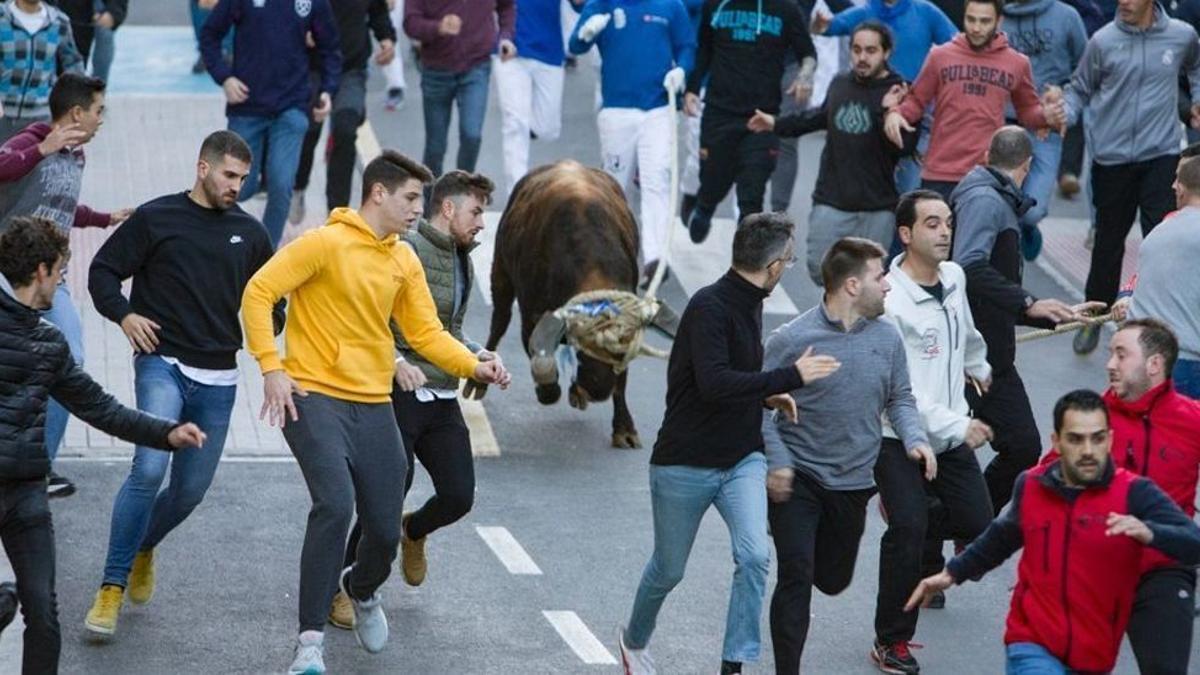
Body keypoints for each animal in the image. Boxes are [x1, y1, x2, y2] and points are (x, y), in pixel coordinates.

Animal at [480, 158, 676, 446]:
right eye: (584, 351)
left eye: (618, 352)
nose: (597, 390)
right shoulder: (532, 313)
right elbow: (541, 357)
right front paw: (548, 391)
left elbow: (622, 381)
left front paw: (624, 429)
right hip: (501, 273)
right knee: (498, 322)